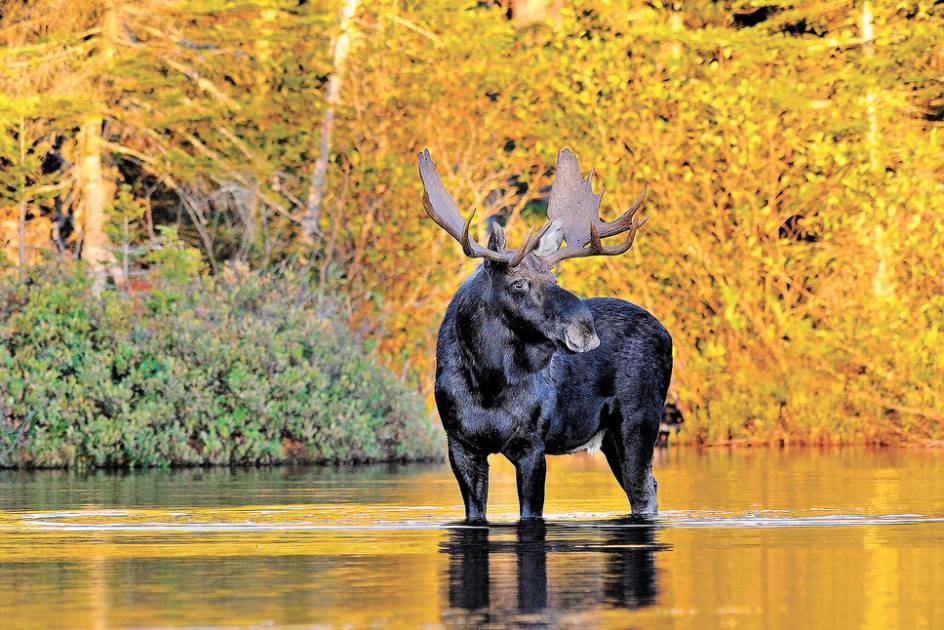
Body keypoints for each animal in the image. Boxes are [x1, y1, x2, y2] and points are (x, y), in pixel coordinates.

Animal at [418, 148, 672, 524]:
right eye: (518, 284)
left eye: (555, 279)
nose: (584, 328)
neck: (486, 382)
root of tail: (667, 333)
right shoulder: (461, 445)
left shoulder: (531, 445)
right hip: (611, 438)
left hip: (639, 421)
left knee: (645, 491)